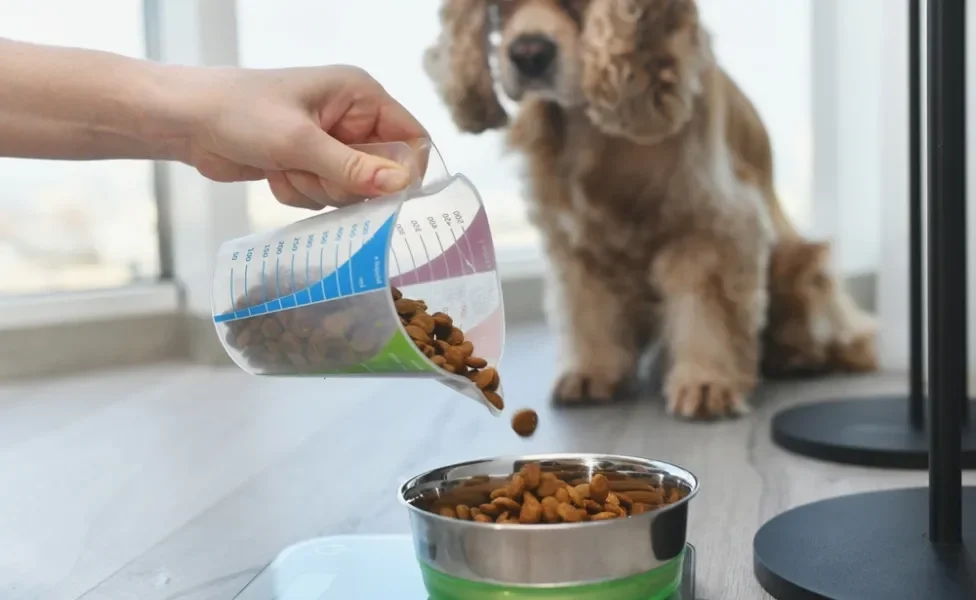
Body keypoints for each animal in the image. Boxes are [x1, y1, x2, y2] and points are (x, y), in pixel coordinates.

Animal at [426, 0, 876, 420]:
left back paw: (797, 356)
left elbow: (707, 308)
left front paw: (706, 383)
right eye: (498, 7)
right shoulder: (575, 236)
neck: (597, 130)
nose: (529, 54)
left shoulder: (711, 224)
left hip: (800, 261)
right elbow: (586, 305)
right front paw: (591, 372)